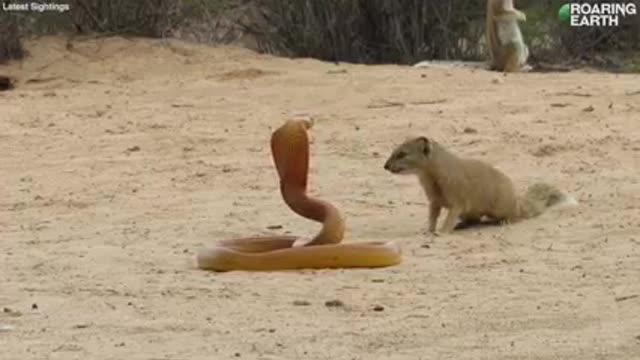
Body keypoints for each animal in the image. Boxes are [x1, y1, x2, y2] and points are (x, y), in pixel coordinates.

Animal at [382, 136, 576, 233]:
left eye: (402, 154)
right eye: (394, 151)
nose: (385, 166)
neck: (432, 180)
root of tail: (516, 198)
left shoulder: (458, 197)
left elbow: (449, 216)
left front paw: (441, 232)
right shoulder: (434, 200)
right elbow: (432, 216)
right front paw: (428, 231)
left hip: (500, 207)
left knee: (516, 216)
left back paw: (504, 221)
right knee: (474, 220)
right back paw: (462, 226)